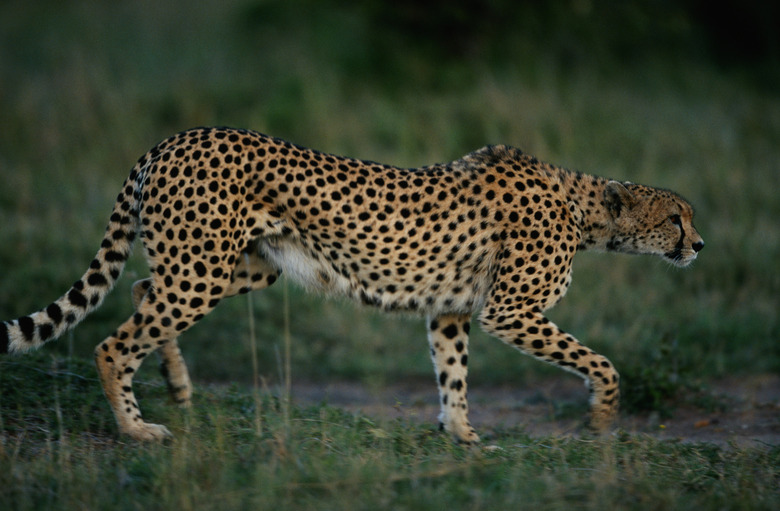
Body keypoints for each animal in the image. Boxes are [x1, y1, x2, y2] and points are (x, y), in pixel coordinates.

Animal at [0, 128, 704, 444]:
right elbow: (601, 362)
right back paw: (136, 429)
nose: (699, 245)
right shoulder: (510, 311)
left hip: (238, 265)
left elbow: (453, 371)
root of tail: (175, 137)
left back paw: (176, 386)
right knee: (112, 344)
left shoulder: (450, 311)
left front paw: (461, 433)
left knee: (144, 290)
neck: (584, 208)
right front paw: (604, 416)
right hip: (204, 269)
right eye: (676, 217)